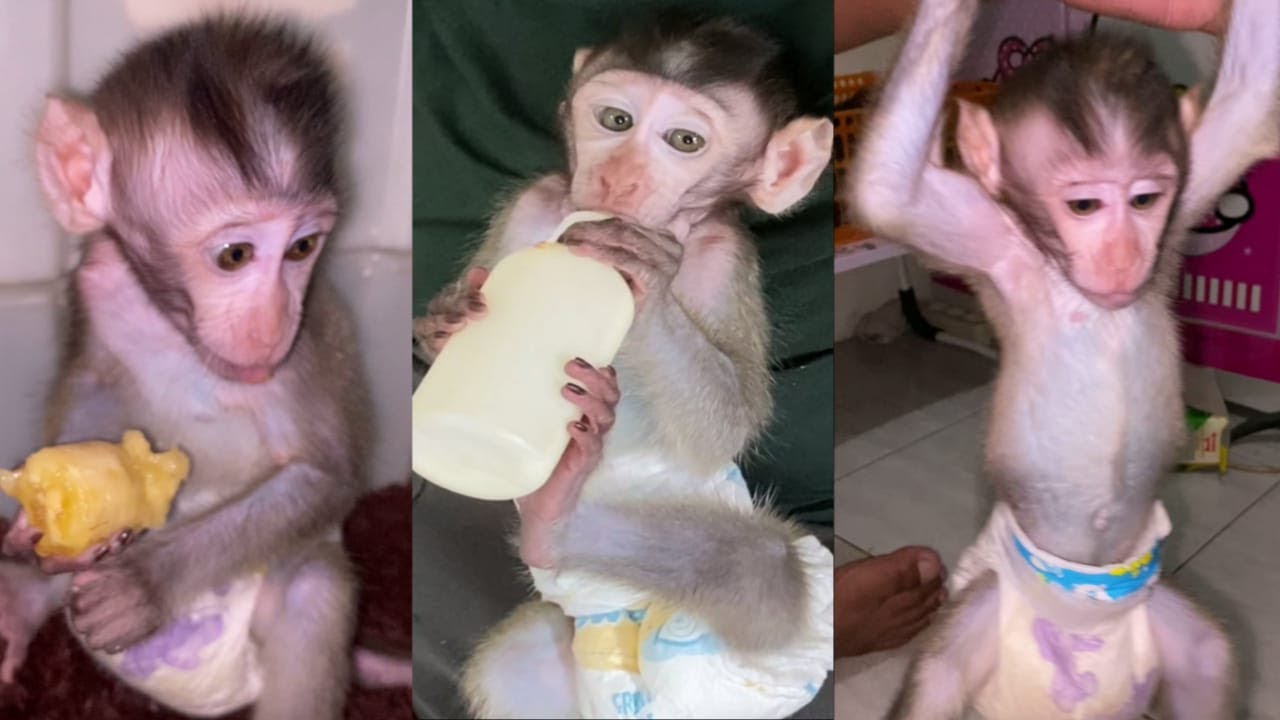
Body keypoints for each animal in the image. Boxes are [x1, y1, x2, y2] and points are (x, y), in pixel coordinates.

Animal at [0, 15, 409, 719]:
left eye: (303, 247)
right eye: (236, 255)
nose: (272, 321)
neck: (180, 334)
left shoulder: (301, 352)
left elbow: (324, 476)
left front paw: (142, 583)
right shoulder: (97, 280)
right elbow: (93, 388)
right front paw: (40, 527)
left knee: (315, 591)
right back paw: (16, 612)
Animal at [414, 15, 835, 720]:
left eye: (684, 141)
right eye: (615, 120)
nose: (617, 180)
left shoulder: (725, 255)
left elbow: (726, 426)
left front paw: (646, 277)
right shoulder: (534, 203)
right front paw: (447, 322)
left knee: (764, 563)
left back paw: (554, 522)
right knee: (516, 666)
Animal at [848, 0, 1280, 717]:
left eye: (1145, 200)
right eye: (1084, 205)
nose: (1124, 258)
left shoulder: (1182, 208)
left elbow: (1253, 90)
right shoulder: (988, 239)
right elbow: (887, 189)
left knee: (1208, 659)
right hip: (985, 613)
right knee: (938, 678)